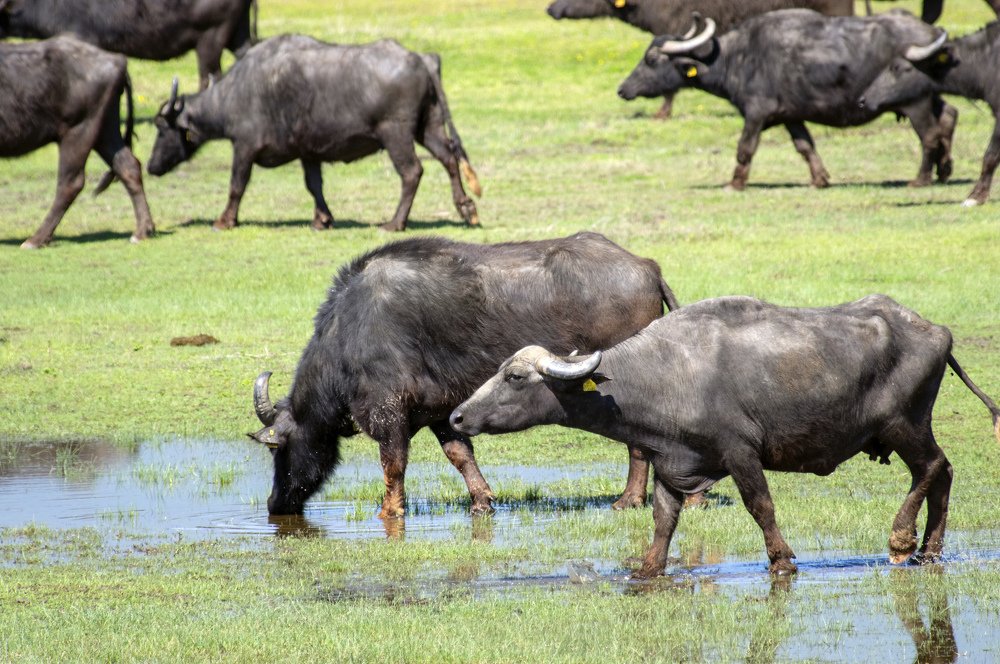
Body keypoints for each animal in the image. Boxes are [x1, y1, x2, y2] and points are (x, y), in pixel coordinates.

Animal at [0, 36, 154, 248]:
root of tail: (117, 60)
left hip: (78, 131)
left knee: (71, 182)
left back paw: (36, 239)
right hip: (105, 129)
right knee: (128, 166)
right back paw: (142, 231)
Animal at [148, 34, 481, 232]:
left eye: (162, 128)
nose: (151, 166)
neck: (235, 93)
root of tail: (422, 58)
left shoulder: (243, 146)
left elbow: (236, 185)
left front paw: (224, 220)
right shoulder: (308, 152)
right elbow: (314, 185)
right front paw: (322, 219)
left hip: (395, 133)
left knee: (412, 172)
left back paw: (394, 222)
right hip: (429, 126)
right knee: (449, 157)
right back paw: (467, 209)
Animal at [249, 233, 680, 517]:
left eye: (277, 448)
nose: (275, 503)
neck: (349, 332)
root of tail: (647, 266)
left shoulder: (388, 411)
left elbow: (393, 465)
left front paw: (390, 512)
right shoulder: (443, 411)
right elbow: (459, 455)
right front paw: (482, 500)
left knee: (637, 444)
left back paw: (628, 499)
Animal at [450, 295, 1000, 577]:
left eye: (514, 377)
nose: (456, 417)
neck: (665, 373)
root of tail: (936, 330)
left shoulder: (740, 453)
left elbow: (761, 506)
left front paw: (781, 559)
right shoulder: (672, 461)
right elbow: (663, 521)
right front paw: (648, 567)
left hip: (904, 425)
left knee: (932, 468)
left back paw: (902, 541)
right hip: (911, 430)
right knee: (944, 472)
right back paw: (931, 551)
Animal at [618, 9, 958, 190]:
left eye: (651, 59)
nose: (623, 89)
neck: (738, 58)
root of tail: (931, 33)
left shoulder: (756, 112)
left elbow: (745, 148)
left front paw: (735, 183)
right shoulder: (791, 116)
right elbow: (805, 146)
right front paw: (820, 179)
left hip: (915, 102)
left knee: (930, 134)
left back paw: (921, 179)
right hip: (931, 98)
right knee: (949, 116)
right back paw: (944, 170)